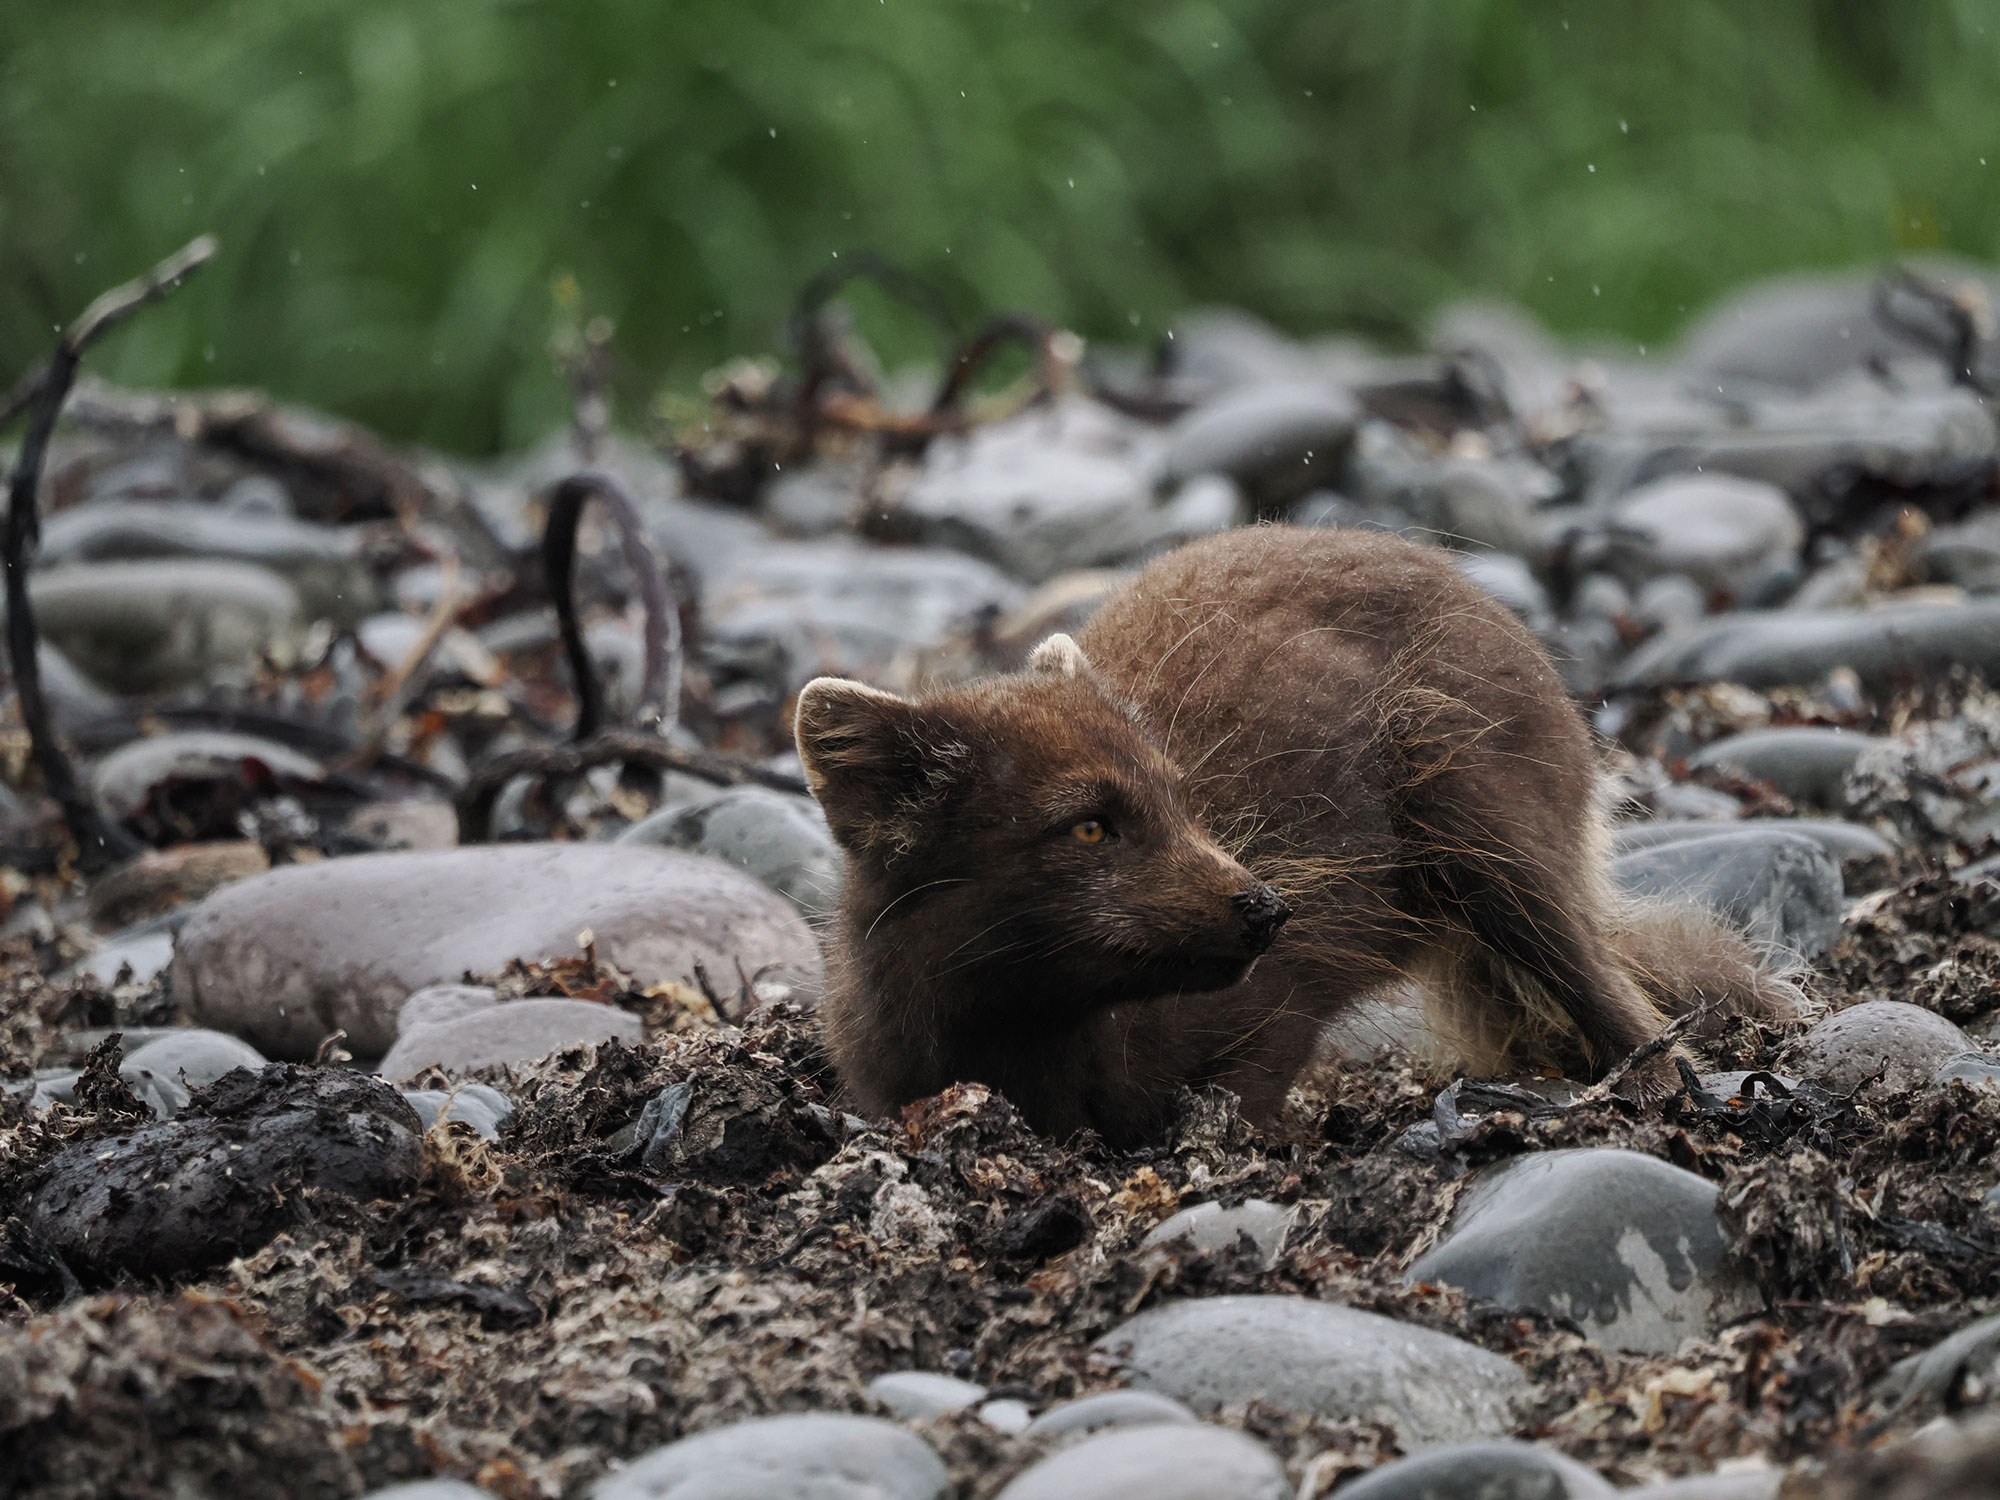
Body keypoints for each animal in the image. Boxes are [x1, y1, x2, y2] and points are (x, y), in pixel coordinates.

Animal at [794, 525, 1796, 1145]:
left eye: (1182, 799)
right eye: (1088, 827)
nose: (1267, 907)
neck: (1034, 1043)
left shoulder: (1287, 999)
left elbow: (1255, 1074)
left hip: (1486, 821)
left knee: (1622, 994)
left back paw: (1660, 1092)